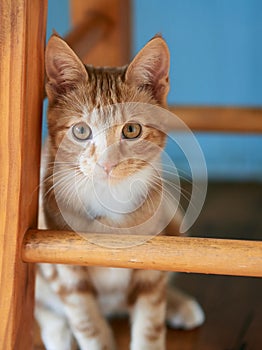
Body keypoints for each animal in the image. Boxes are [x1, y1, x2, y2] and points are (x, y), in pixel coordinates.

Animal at [35, 34, 205, 350]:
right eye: (81, 131)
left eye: (131, 130)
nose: (107, 163)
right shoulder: (65, 270)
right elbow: (87, 325)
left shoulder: (153, 262)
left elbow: (150, 321)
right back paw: (58, 334)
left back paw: (179, 305)